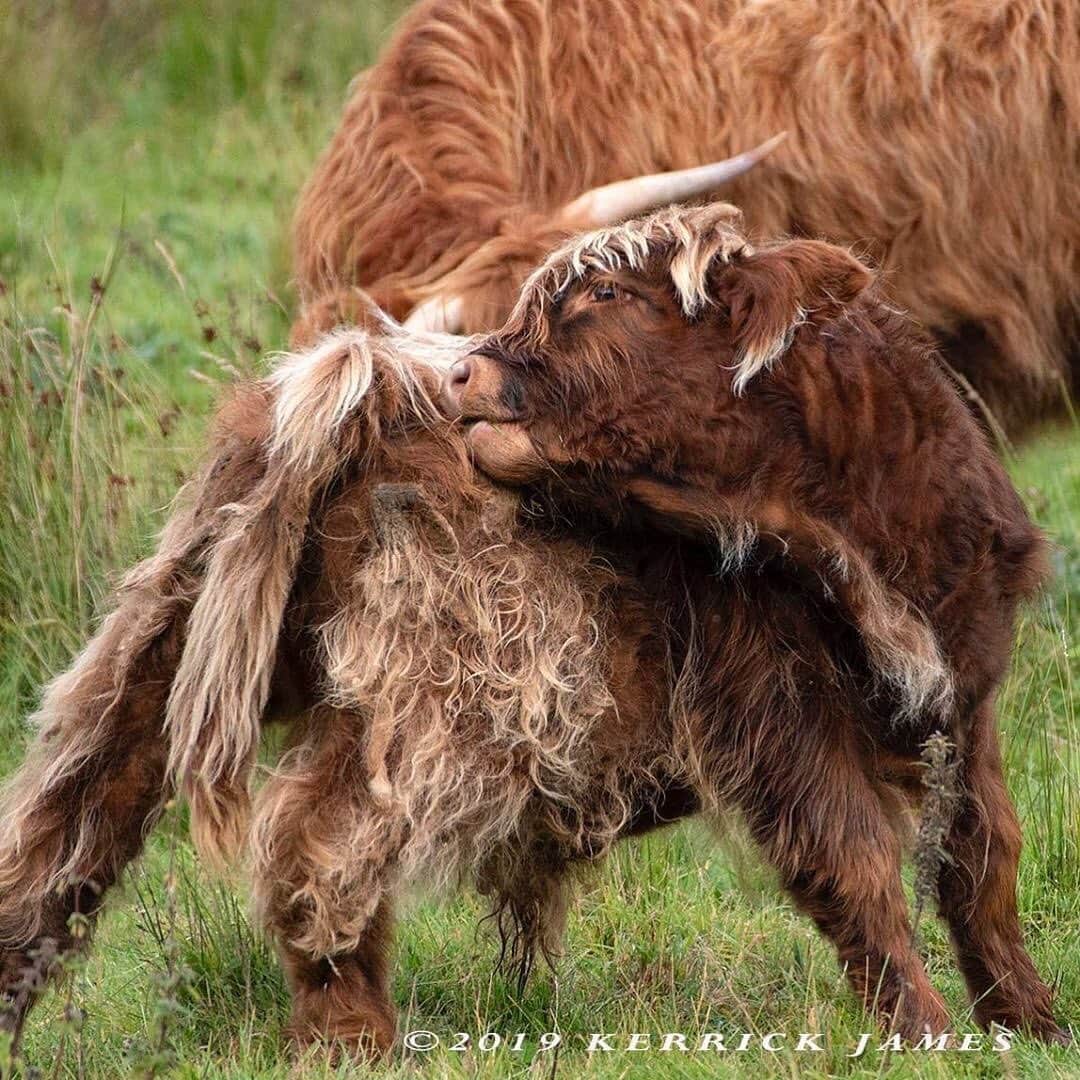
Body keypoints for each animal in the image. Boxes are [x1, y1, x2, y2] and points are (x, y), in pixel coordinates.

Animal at [441, 202, 1069, 1044]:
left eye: (607, 292)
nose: (461, 374)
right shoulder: (772, 705)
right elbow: (855, 859)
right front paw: (924, 1030)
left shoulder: (964, 689)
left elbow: (985, 859)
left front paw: (1030, 1022)